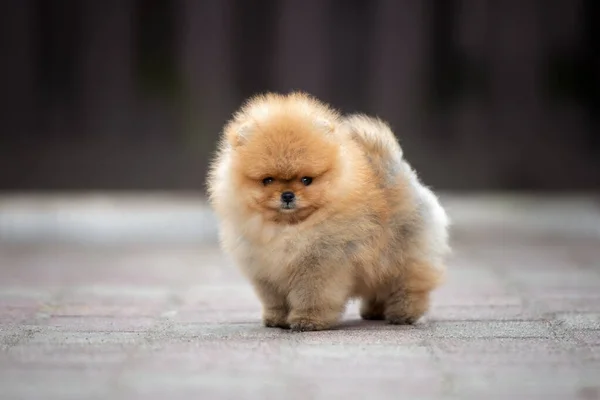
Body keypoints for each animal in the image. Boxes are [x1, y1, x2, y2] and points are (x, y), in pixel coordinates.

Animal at [209, 91, 448, 332]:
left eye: (306, 180)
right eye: (267, 180)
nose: (287, 195)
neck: (288, 228)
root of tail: (397, 172)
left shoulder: (321, 266)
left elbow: (312, 296)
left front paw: (307, 320)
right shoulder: (266, 271)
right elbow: (275, 300)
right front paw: (276, 319)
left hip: (406, 257)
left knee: (410, 287)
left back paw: (405, 315)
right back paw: (374, 312)